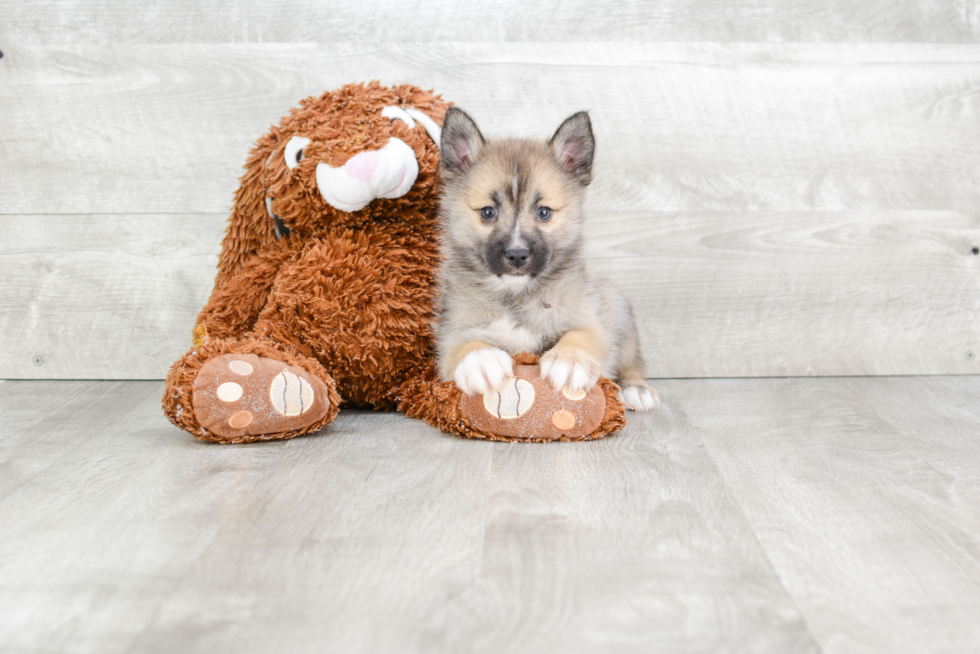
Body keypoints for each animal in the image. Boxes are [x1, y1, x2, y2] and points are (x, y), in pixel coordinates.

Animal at [434, 109, 660, 412]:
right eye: (488, 212)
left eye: (543, 212)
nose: (517, 255)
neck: (516, 295)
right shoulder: (453, 332)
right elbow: (462, 344)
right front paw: (480, 360)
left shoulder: (590, 320)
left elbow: (584, 335)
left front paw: (570, 360)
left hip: (618, 309)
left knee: (632, 363)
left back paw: (636, 389)